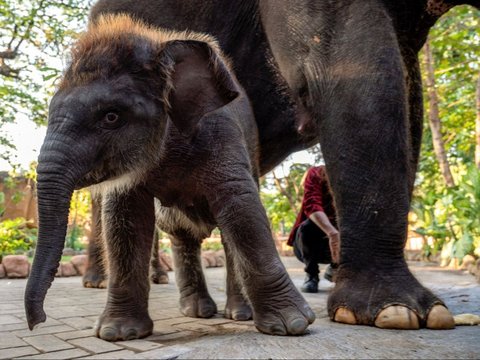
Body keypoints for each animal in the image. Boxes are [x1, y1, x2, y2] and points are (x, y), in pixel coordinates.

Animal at [25, 14, 316, 340]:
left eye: (111, 116)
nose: (37, 321)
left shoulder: (222, 133)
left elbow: (243, 210)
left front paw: (292, 325)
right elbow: (125, 219)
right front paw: (118, 332)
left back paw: (239, 314)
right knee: (179, 231)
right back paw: (197, 312)